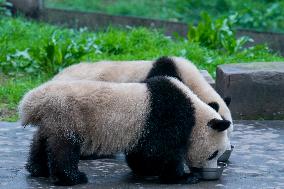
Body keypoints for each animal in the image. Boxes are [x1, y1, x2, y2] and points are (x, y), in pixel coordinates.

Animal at [20, 76, 232, 185]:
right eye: (213, 154)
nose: (208, 171)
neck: (195, 112)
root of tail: (33, 101)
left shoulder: (146, 128)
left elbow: (143, 153)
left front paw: (144, 170)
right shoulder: (167, 115)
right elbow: (159, 152)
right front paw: (183, 176)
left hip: (52, 119)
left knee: (42, 140)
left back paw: (37, 169)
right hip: (68, 116)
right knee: (64, 148)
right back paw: (72, 178)